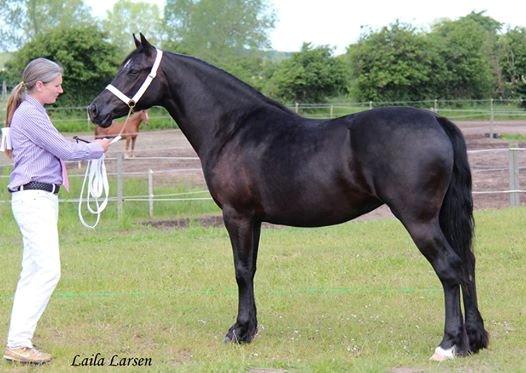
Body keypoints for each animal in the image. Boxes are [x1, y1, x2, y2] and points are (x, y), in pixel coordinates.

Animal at [89, 35, 490, 360]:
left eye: (134, 70)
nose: (95, 109)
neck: (233, 128)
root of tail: (436, 120)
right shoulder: (253, 219)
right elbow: (251, 269)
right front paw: (249, 329)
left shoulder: (236, 215)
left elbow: (240, 271)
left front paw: (237, 331)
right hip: (438, 218)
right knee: (468, 264)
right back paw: (474, 340)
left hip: (418, 220)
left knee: (449, 268)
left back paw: (448, 345)